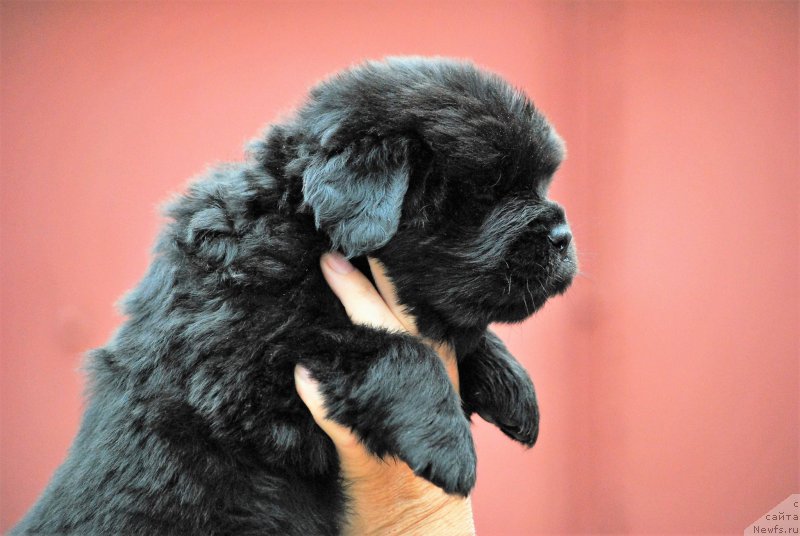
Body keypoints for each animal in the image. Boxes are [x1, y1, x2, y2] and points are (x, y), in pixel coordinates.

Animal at [12, 56, 576, 532]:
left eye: (539, 183)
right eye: (489, 190)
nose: (565, 237)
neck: (301, 231)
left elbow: (460, 337)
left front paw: (515, 389)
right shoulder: (247, 367)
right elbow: (394, 348)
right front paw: (448, 446)